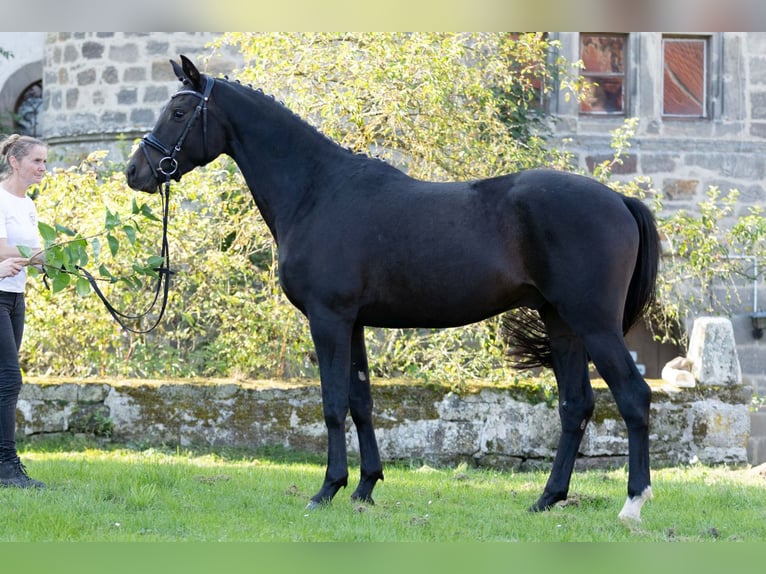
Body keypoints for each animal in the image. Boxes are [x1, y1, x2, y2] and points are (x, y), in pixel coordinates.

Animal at [126, 56, 660, 524]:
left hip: (594, 324)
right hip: (560, 322)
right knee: (576, 406)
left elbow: (333, 403)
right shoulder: (355, 323)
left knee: (633, 397)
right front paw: (364, 487)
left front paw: (327, 489)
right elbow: (361, 402)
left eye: (179, 112)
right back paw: (547, 499)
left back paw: (632, 504)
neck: (318, 191)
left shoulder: (329, 318)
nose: (136, 172)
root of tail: (619, 198)